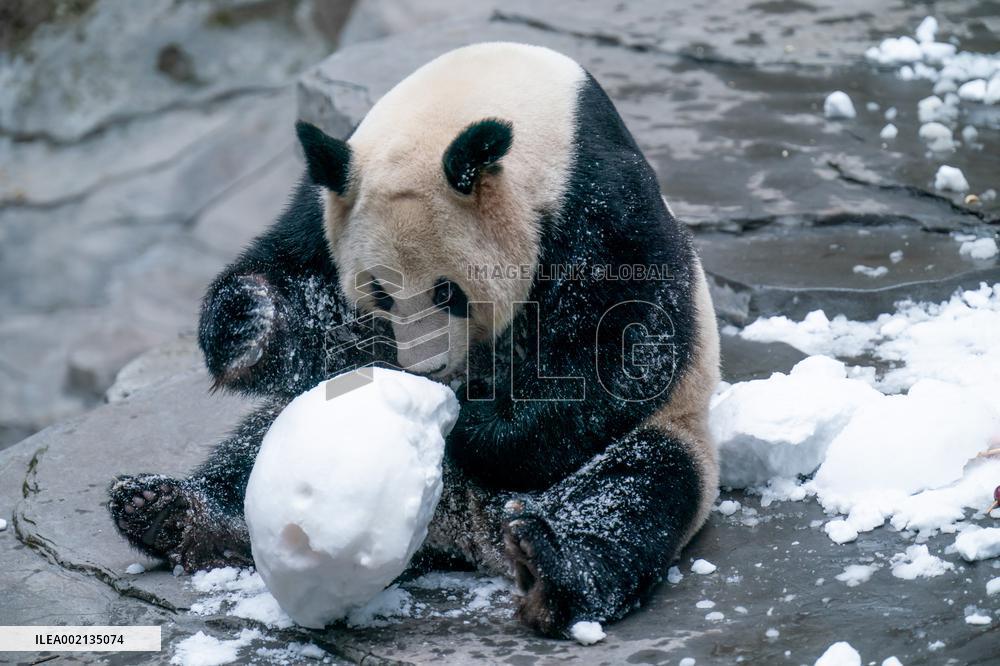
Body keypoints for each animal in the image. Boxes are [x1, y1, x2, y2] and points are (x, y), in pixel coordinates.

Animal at [108, 42, 720, 637]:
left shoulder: (597, 196)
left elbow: (626, 342)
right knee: (245, 456)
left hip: (667, 437)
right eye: (379, 292)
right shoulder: (328, 198)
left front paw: (475, 426)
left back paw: (548, 568)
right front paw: (244, 323)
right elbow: (297, 282)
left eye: (449, 292)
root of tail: (466, 527)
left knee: (633, 495)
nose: (426, 372)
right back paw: (168, 511)